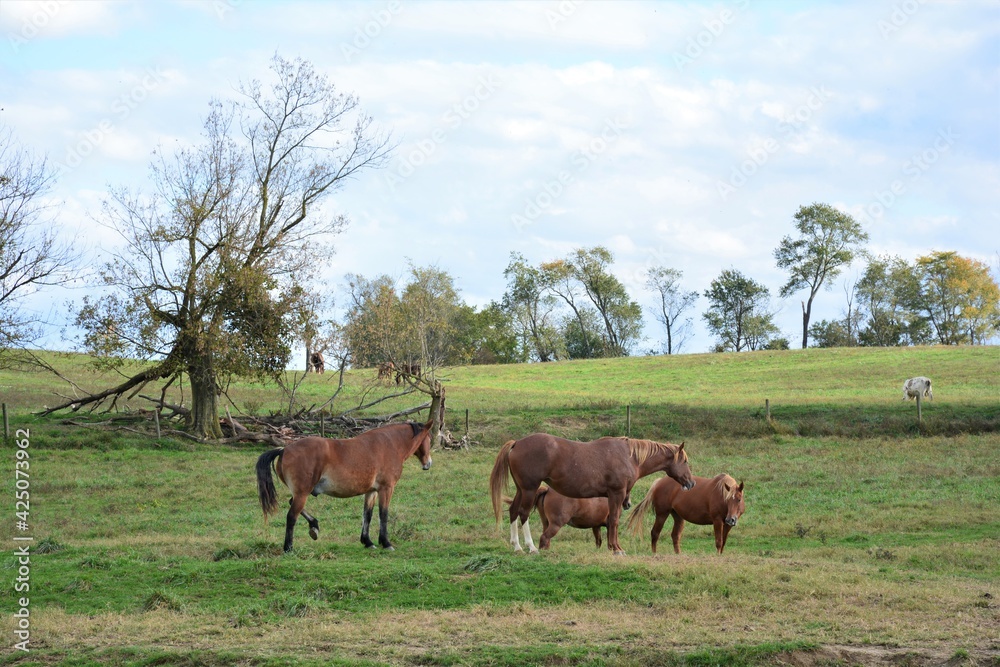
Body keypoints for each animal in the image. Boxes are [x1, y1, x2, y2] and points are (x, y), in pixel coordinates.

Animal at [256, 422, 432, 552]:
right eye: (429, 439)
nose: (428, 463)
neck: (390, 444)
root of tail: (284, 449)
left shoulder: (371, 492)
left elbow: (367, 515)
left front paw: (367, 541)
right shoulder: (386, 489)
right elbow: (383, 514)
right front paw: (386, 542)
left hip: (301, 493)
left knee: (292, 504)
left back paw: (314, 526)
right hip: (302, 494)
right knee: (292, 516)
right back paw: (289, 547)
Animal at [488, 436, 692, 556]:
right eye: (685, 461)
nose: (691, 483)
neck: (630, 456)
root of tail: (517, 443)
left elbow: (610, 524)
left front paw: (613, 546)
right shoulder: (616, 493)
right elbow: (614, 520)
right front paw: (616, 549)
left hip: (521, 489)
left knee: (513, 511)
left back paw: (516, 545)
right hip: (529, 489)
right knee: (523, 514)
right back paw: (530, 547)